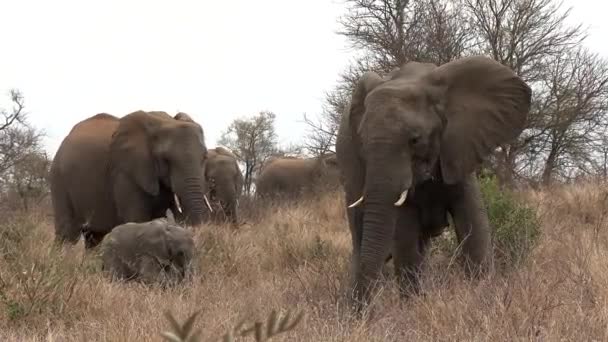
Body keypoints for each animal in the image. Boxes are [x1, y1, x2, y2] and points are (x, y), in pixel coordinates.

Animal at [48, 110, 209, 248]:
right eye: (166, 159)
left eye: (205, 157)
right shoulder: (125, 171)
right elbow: (137, 219)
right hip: (59, 178)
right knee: (67, 234)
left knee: (93, 237)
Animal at [338, 56, 532, 312]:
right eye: (361, 141)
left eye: (415, 139)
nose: (362, 313)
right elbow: (406, 240)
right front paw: (413, 311)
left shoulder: (459, 148)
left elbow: (475, 226)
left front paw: (483, 299)